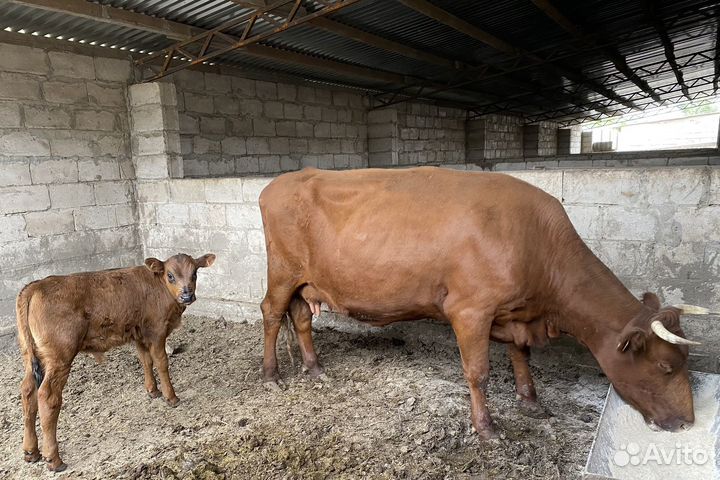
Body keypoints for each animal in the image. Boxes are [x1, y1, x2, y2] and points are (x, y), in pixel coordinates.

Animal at [16, 253, 215, 471]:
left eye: (194, 272)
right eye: (170, 275)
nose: (187, 296)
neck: (158, 285)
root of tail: (35, 286)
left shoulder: (139, 333)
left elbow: (145, 361)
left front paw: (153, 391)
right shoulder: (156, 331)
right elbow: (161, 362)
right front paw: (171, 397)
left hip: (31, 356)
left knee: (28, 391)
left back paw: (30, 451)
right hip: (59, 357)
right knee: (46, 396)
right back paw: (53, 459)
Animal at [258, 166, 701, 439]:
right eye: (665, 366)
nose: (687, 422)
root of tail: (281, 181)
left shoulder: (516, 314)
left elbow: (522, 357)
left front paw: (531, 403)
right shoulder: (470, 310)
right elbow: (478, 372)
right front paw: (486, 427)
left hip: (305, 281)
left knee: (300, 318)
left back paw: (315, 369)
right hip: (282, 271)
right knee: (271, 312)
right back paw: (271, 375)